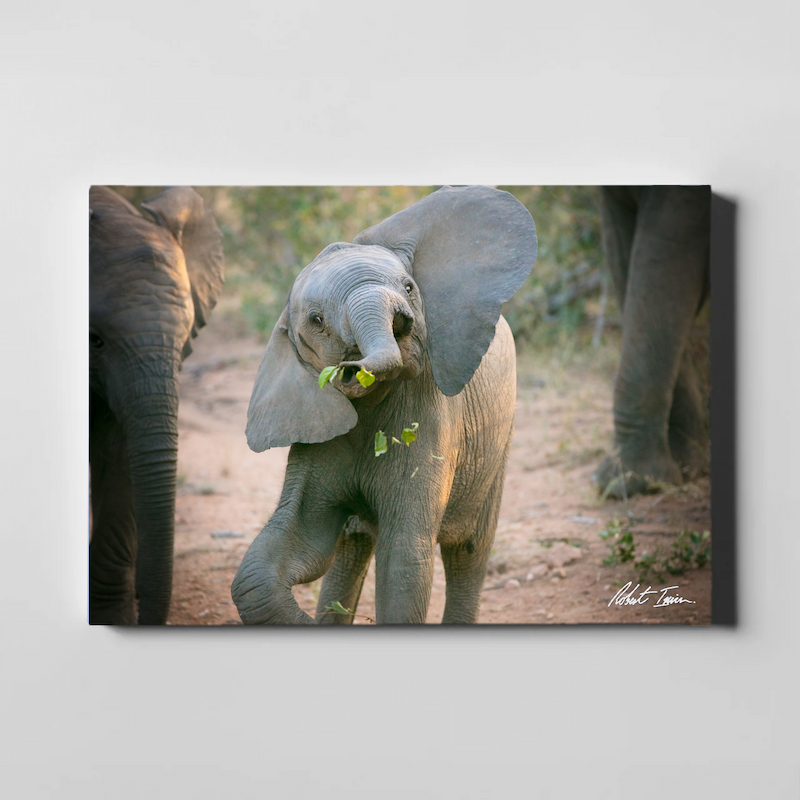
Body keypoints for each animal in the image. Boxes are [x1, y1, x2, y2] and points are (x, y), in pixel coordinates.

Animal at [231, 186, 538, 624]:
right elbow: (286, 554)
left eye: (409, 287)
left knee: (468, 549)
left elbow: (404, 558)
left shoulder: (431, 416)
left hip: (499, 436)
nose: (349, 369)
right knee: (351, 545)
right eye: (317, 320)